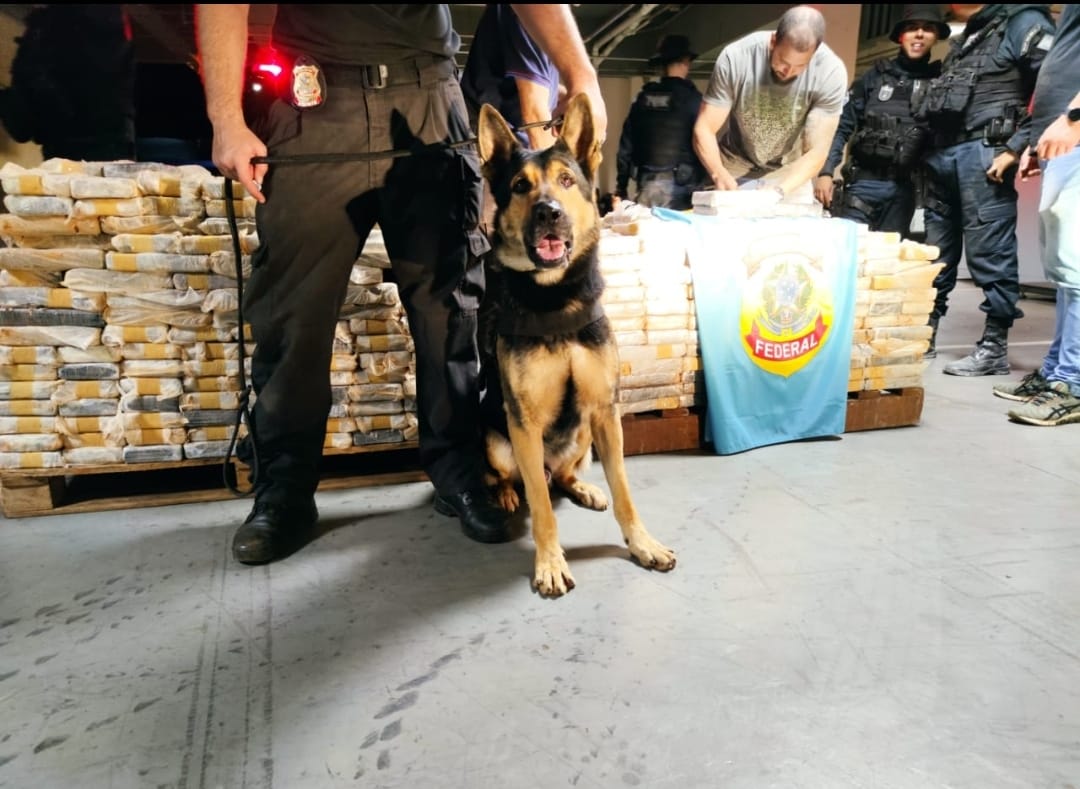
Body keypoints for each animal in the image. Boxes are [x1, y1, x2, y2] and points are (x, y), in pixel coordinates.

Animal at [475, 93, 677, 597]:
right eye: (520, 186)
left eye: (566, 180)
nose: (549, 212)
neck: (555, 300)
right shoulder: (523, 422)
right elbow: (543, 509)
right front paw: (549, 562)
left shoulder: (606, 410)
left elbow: (624, 491)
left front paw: (642, 543)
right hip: (497, 436)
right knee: (516, 479)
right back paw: (506, 493)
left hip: (584, 429)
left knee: (563, 476)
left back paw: (583, 487)